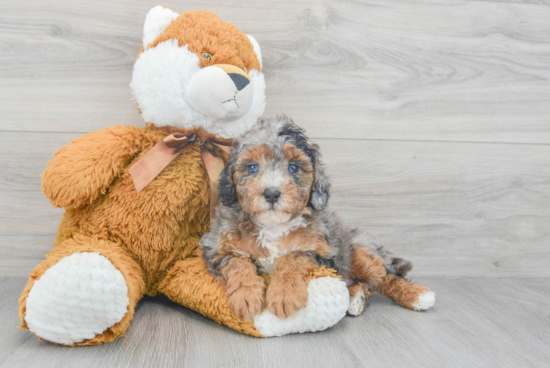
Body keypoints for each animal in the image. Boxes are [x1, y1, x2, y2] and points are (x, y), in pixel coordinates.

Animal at [201, 116, 438, 320]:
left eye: (293, 167)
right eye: (252, 167)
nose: (272, 193)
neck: (274, 226)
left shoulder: (322, 252)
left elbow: (292, 257)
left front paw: (285, 295)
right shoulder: (216, 248)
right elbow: (238, 261)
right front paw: (246, 296)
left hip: (360, 253)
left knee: (385, 277)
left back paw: (417, 295)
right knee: (368, 284)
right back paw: (356, 298)